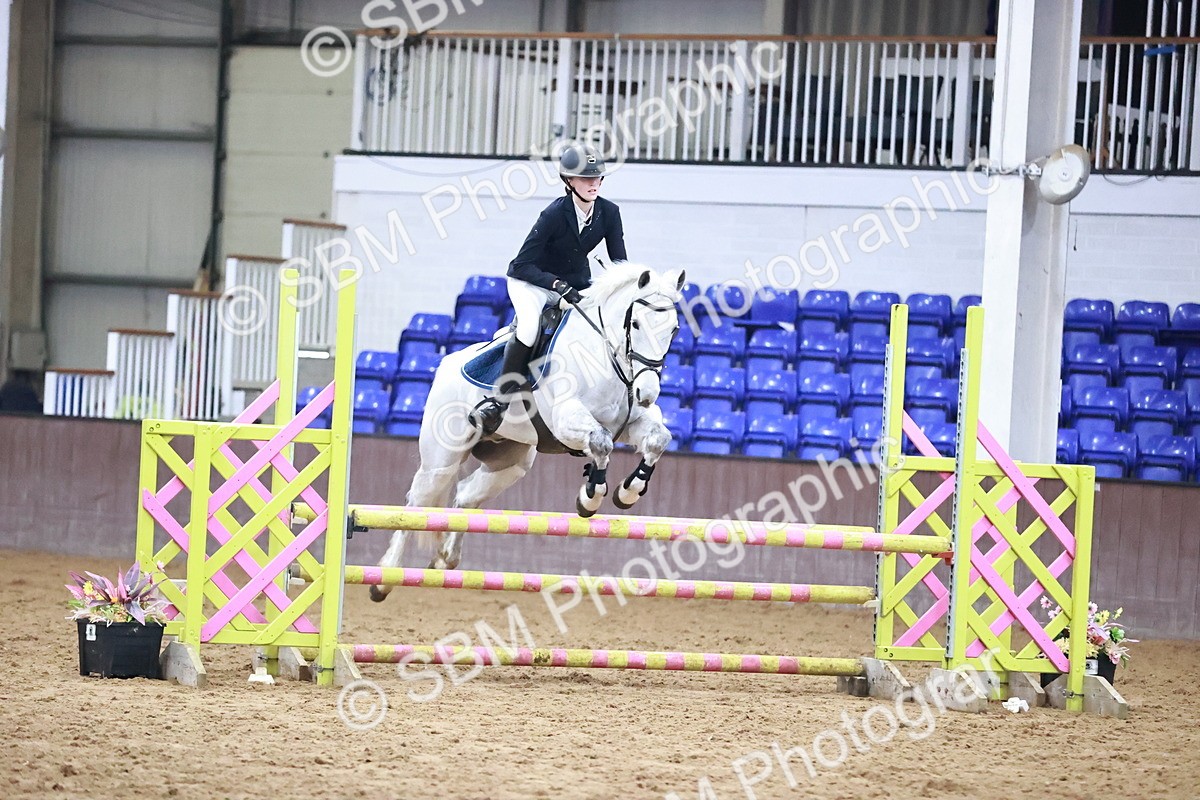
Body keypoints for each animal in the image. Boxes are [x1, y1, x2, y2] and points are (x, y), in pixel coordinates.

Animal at [369, 263, 685, 601]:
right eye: (635, 324)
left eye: (674, 330)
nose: (646, 393)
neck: (603, 357)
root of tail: (447, 364)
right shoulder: (565, 419)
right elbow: (601, 444)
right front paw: (589, 498)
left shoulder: (631, 423)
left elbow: (658, 440)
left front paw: (628, 492)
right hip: (441, 461)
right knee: (416, 505)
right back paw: (383, 579)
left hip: (511, 462)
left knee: (465, 496)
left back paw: (445, 558)